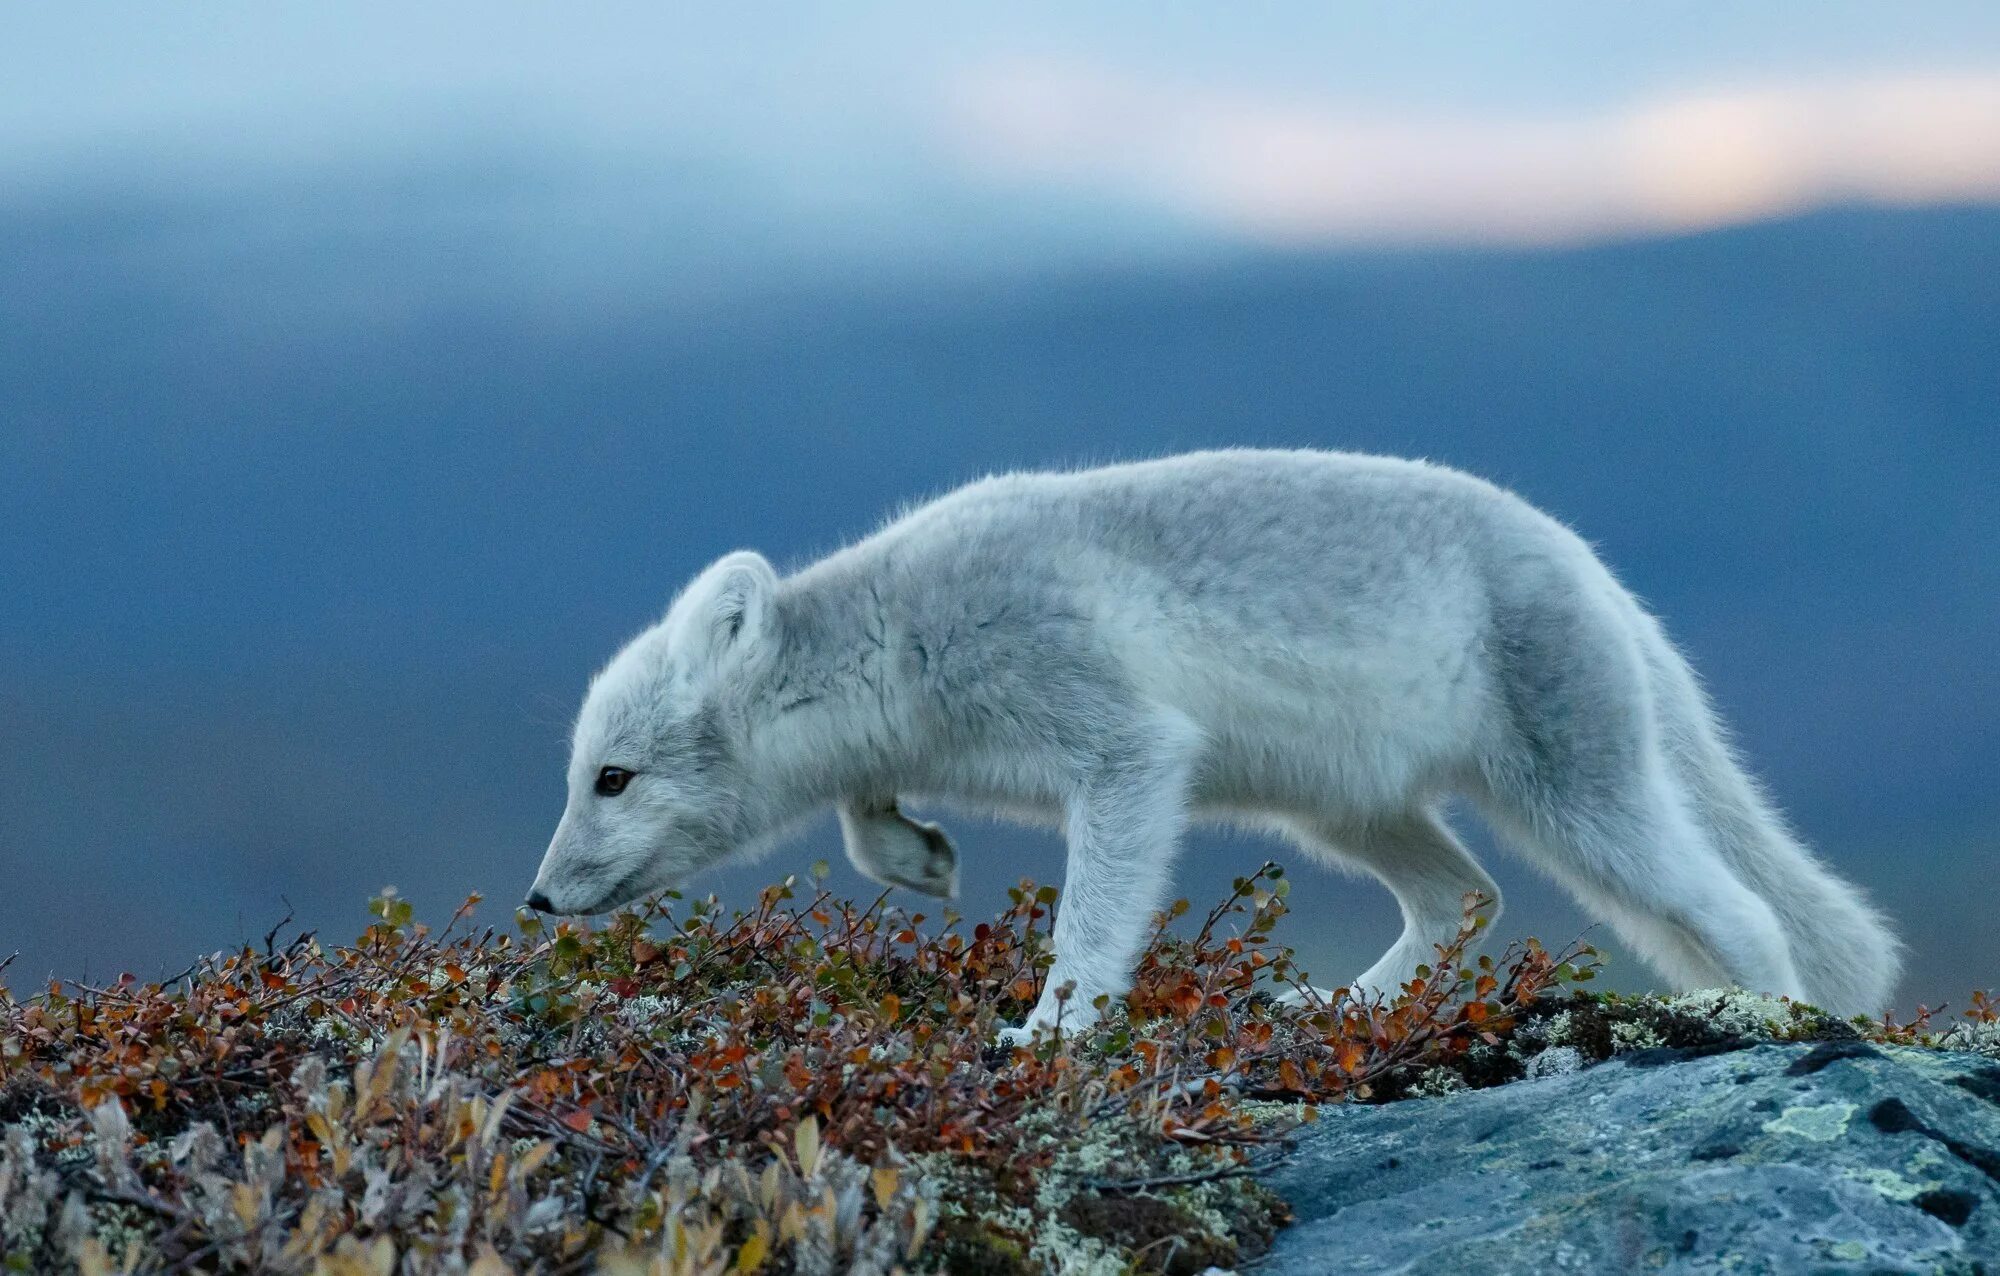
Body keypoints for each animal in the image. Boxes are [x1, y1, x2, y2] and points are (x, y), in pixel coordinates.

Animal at [532, 450, 1904, 1040]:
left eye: (611, 777)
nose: (538, 898)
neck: (897, 636)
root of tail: (1592, 568)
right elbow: (864, 812)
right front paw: (916, 855)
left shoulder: (1120, 741)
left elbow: (1092, 915)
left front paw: (1053, 1029)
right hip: (1344, 805)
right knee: (1465, 896)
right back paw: (1336, 1003)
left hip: (1578, 790)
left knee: (1734, 907)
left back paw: (1768, 1009)